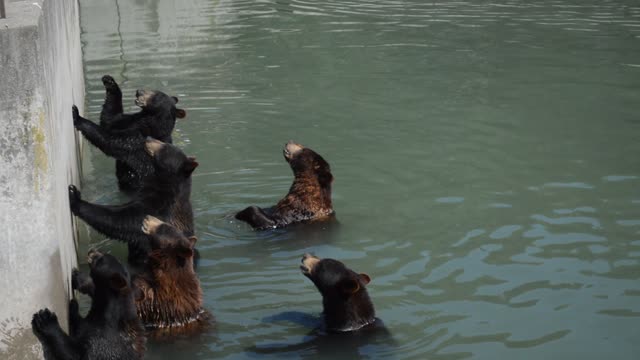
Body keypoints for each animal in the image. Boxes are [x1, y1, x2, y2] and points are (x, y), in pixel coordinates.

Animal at [67, 138, 198, 268]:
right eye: (164, 143)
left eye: (164, 147)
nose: (149, 138)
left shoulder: (158, 209)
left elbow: (124, 219)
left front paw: (75, 196)